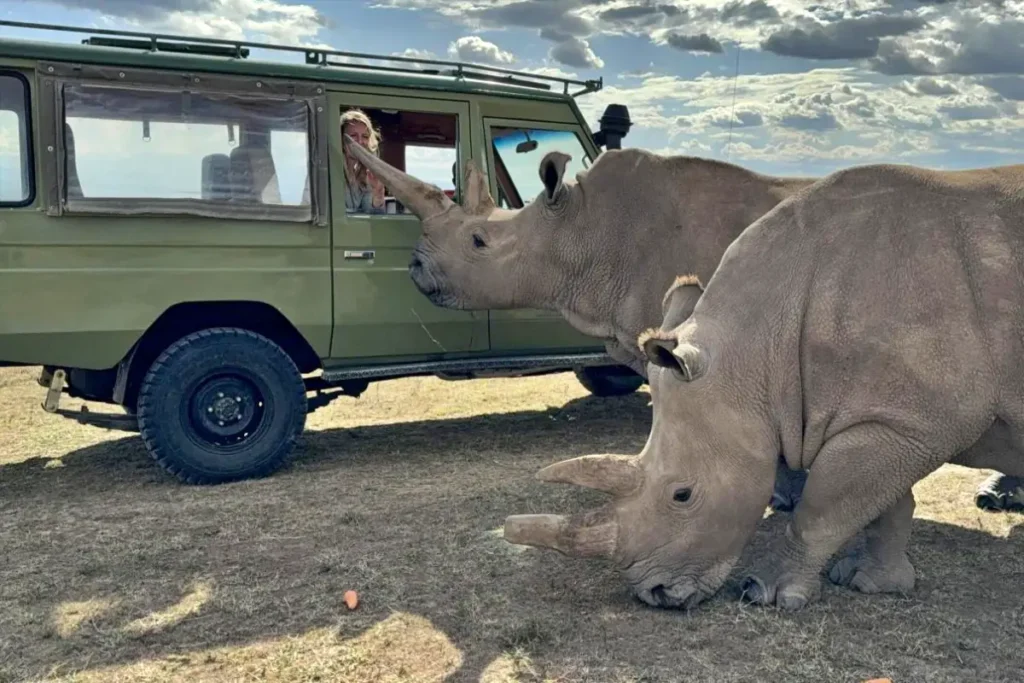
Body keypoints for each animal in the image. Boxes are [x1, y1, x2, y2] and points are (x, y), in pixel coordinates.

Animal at [501, 160, 1024, 611]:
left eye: (682, 494)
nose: (657, 595)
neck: (758, 350)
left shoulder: (920, 420)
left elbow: (825, 505)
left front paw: (767, 592)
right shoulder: (894, 418)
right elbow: (882, 501)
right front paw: (870, 582)